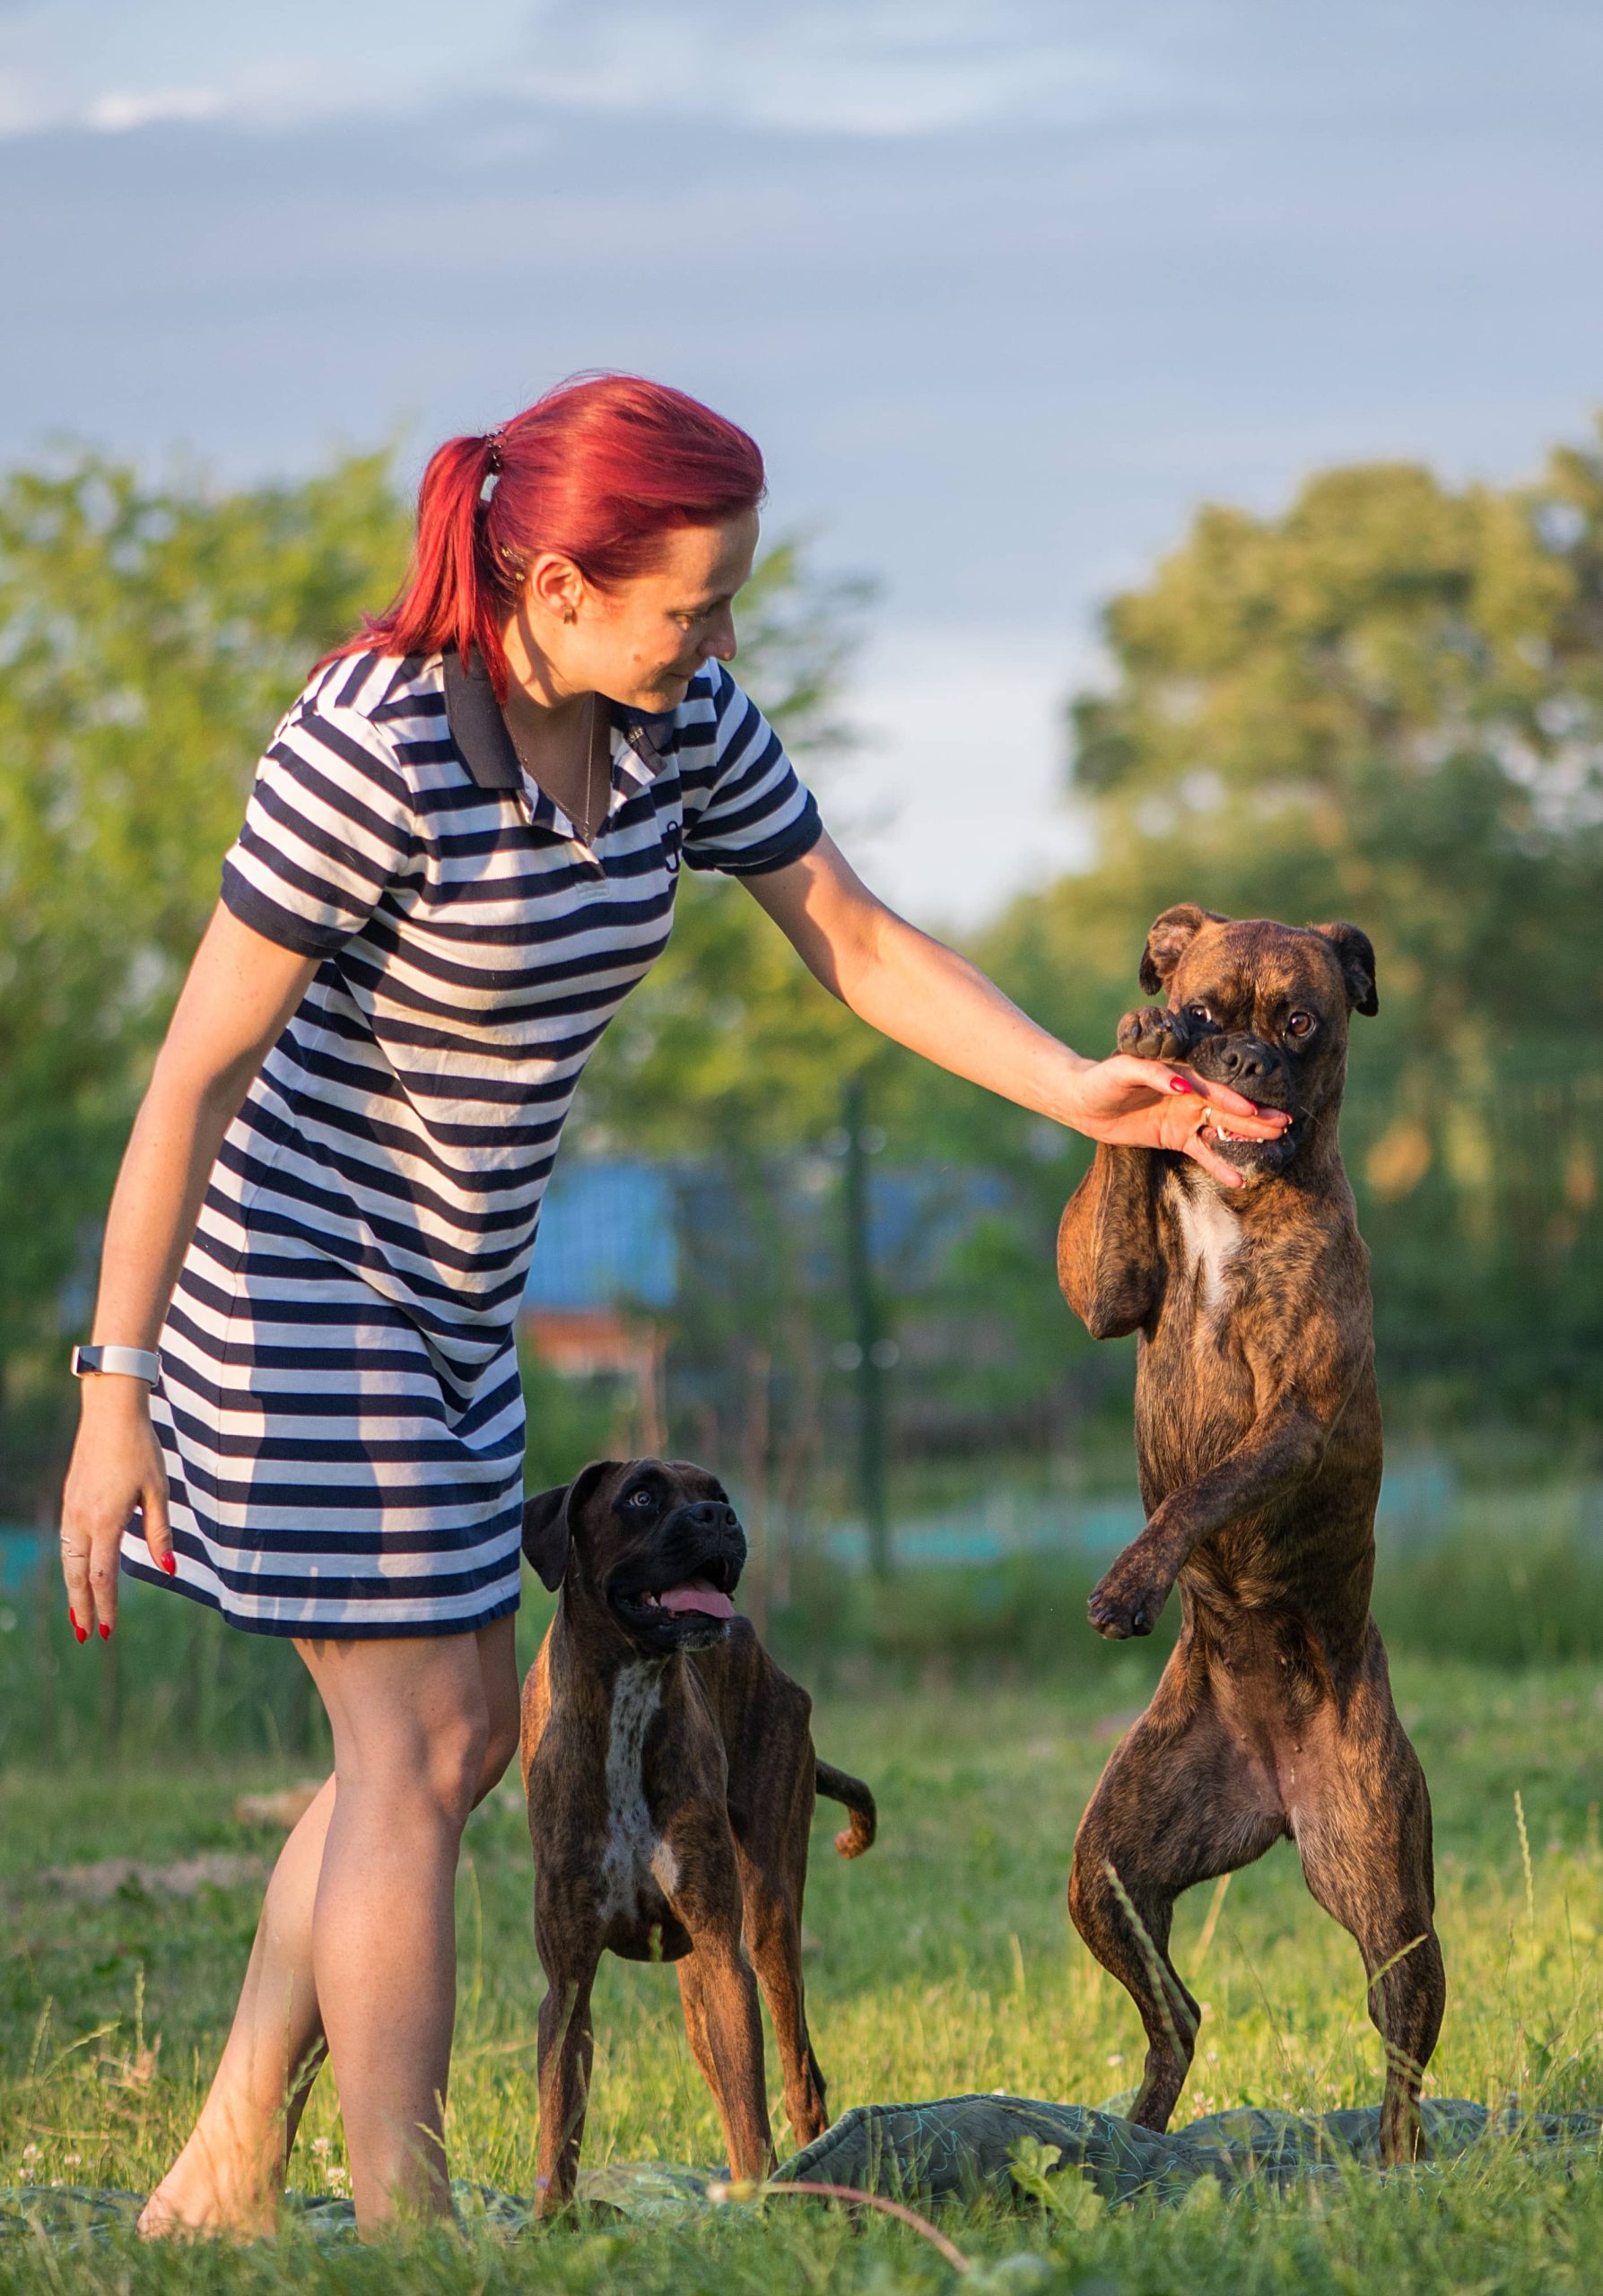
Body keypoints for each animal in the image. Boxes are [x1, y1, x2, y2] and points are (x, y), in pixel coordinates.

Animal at [521, 1460, 872, 2213]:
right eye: (640, 1496)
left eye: (718, 1495)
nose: (719, 1517)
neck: (630, 1693)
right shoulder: (568, 1989)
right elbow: (558, 2118)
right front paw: (550, 2220)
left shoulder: (725, 1962)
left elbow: (750, 2109)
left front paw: (758, 2205)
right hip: (694, 1997)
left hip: (767, 1929)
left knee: (798, 2076)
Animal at [1056, 904, 1442, 2158]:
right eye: (1202, 1010)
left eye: (1301, 1022)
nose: (1243, 1059)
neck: (1233, 1196)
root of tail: (1270, 1783)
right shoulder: (1105, 1287)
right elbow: (1114, 1183)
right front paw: (1131, 1051)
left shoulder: (1293, 1422)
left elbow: (1198, 1494)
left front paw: (1132, 1581)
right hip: (1107, 1868)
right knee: (1174, 2011)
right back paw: (1135, 2136)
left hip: (1389, 1901)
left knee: (1400, 2057)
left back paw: (1395, 2166)